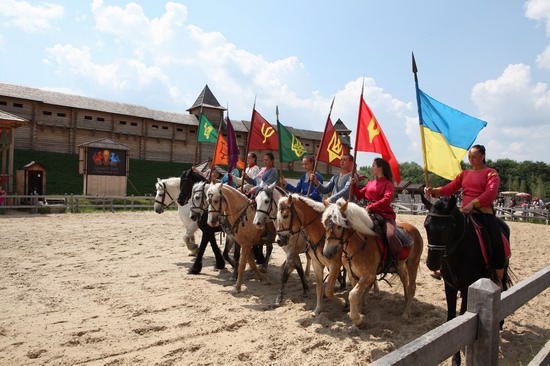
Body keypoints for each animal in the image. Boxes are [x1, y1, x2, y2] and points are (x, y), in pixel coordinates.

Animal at [322, 199, 424, 328]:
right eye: (325, 225)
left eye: (339, 226)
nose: (327, 253)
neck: (359, 244)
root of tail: (413, 229)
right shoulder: (352, 274)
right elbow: (357, 295)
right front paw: (358, 314)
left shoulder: (368, 276)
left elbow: (353, 295)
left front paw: (358, 320)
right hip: (400, 266)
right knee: (405, 281)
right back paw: (405, 301)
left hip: (413, 263)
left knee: (412, 287)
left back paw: (406, 313)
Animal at [422, 194, 512, 366]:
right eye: (426, 226)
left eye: (445, 228)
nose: (432, 263)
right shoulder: (450, 287)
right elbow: (451, 318)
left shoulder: (466, 287)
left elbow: (462, 316)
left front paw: (457, 358)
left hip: (501, 269)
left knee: (503, 287)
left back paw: (500, 322)